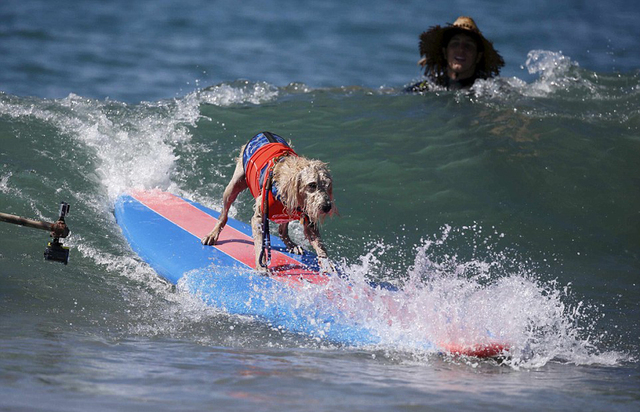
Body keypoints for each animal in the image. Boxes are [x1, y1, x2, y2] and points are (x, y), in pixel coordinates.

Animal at [202, 132, 338, 272]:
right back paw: (213, 234)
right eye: (312, 185)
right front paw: (261, 265)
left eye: (327, 185)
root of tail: (263, 133)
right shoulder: (259, 217)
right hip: (233, 187)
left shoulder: (308, 219)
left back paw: (291, 245)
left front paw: (326, 262)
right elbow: (259, 243)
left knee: (282, 230)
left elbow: (320, 245)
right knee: (223, 215)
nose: (327, 207)